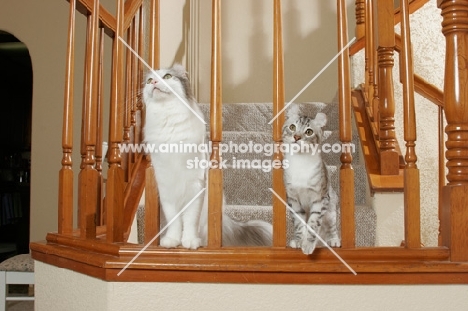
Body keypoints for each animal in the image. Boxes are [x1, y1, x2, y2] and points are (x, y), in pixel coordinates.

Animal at [142, 64, 270, 250]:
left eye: (167, 76)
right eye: (149, 80)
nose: (154, 83)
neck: (168, 121)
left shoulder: (195, 186)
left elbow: (189, 221)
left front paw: (189, 241)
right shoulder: (166, 189)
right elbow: (174, 221)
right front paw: (172, 240)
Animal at [282, 105, 340, 256]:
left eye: (309, 132)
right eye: (292, 127)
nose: (296, 137)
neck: (300, 163)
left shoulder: (320, 199)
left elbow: (313, 224)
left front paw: (308, 244)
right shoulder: (293, 199)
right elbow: (299, 224)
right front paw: (299, 241)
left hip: (331, 210)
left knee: (332, 227)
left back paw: (334, 240)